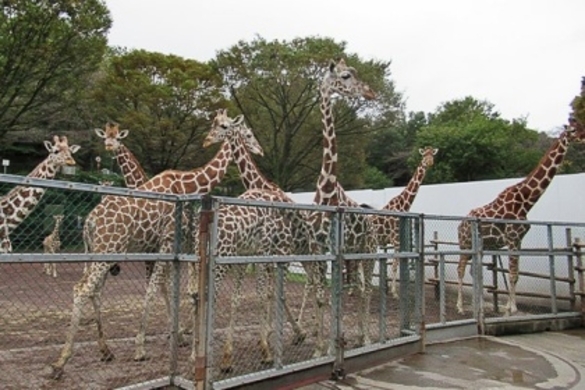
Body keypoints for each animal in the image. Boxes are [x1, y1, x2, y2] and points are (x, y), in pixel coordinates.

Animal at [50, 111, 264, 380]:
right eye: (247, 133)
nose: (259, 150)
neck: (189, 184)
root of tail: (89, 221)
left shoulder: (169, 246)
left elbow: (169, 288)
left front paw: (178, 336)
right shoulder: (167, 241)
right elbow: (157, 288)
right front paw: (142, 347)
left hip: (96, 252)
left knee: (93, 290)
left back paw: (105, 351)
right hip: (109, 249)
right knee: (83, 289)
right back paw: (60, 363)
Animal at [372, 148, 436, 298]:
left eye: (433, 154)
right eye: (424, 155)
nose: (430, 162)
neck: (402, 205)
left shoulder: (399, 240)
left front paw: (393, 290)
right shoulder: (396, 239)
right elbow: (395, 264)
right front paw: (394, 292)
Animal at [456, 117, 584, 316]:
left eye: (581, 126)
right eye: (572, 130)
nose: (584, 137)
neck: (526, 201)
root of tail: (460, 225)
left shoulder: (519, 240)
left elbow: (515, 275)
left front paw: (509, 307)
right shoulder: (512, 238)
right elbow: (512, 273)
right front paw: (512, 309)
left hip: (481, 245)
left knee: (473, 271)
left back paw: (478, 306)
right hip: (465, 244)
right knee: (460, 269)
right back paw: (460, 307)